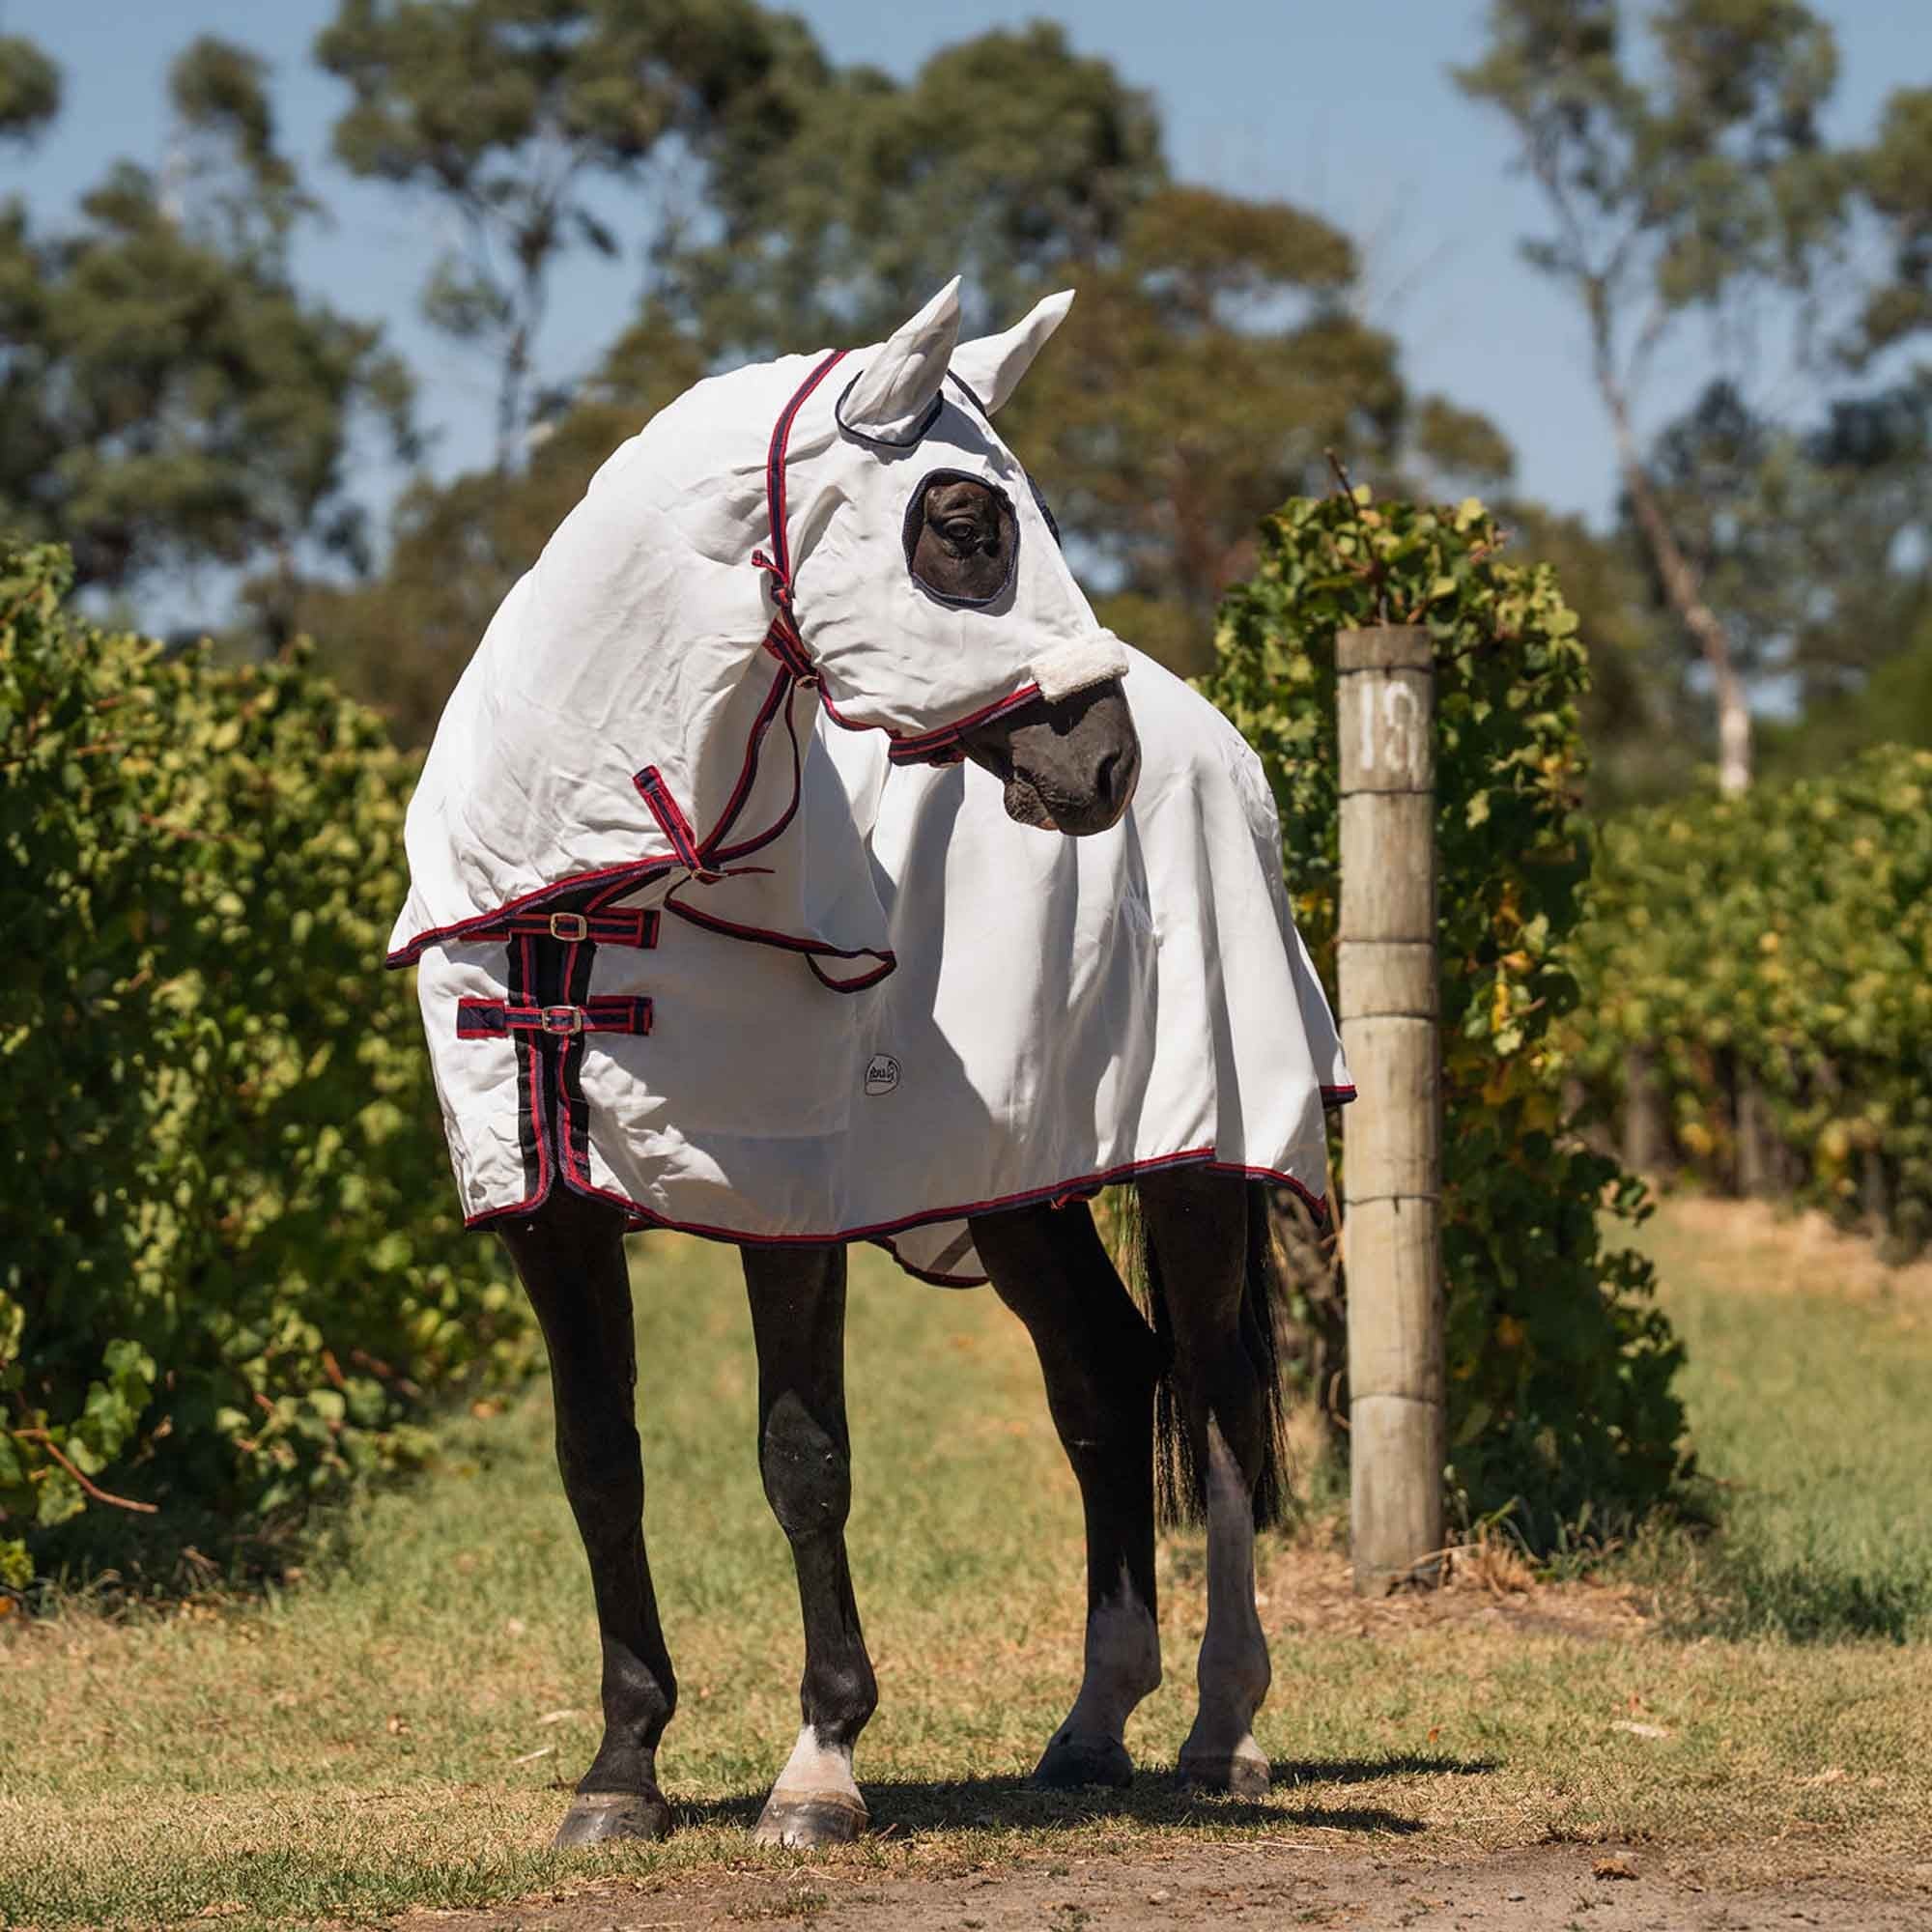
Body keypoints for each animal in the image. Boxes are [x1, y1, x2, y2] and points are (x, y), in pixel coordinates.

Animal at [387, 278, 1351, 1849]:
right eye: (964, 525)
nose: (1100, 768)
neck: (597, 885)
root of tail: (1214, 742)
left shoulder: (789, 1200)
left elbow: (803, 1459)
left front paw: (820, 1765)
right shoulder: (547, 1210)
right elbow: (598, 1460)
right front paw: (620, 1767)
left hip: (1200, 1158)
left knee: (1208, 1400)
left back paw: (1223, 1726)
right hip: (1020, 1188)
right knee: (1103, 1380)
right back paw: (1093, 1724)